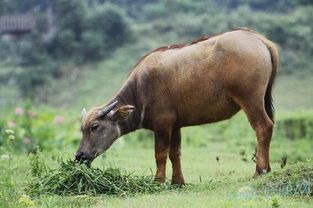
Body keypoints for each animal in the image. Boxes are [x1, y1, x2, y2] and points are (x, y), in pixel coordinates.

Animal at [75, 28, 278, 185]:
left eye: (95, 127)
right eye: (81, 129)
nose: (79, 156)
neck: (140, 90)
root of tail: (258, 39)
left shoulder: (162, 124)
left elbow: (160, 153)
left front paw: (158, 181)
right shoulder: (175, 125)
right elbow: (175, 153)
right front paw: (177, 182)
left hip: (251, 100)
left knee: (263, 127)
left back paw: (260, 171)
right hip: (262, 100)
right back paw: (268, 168)